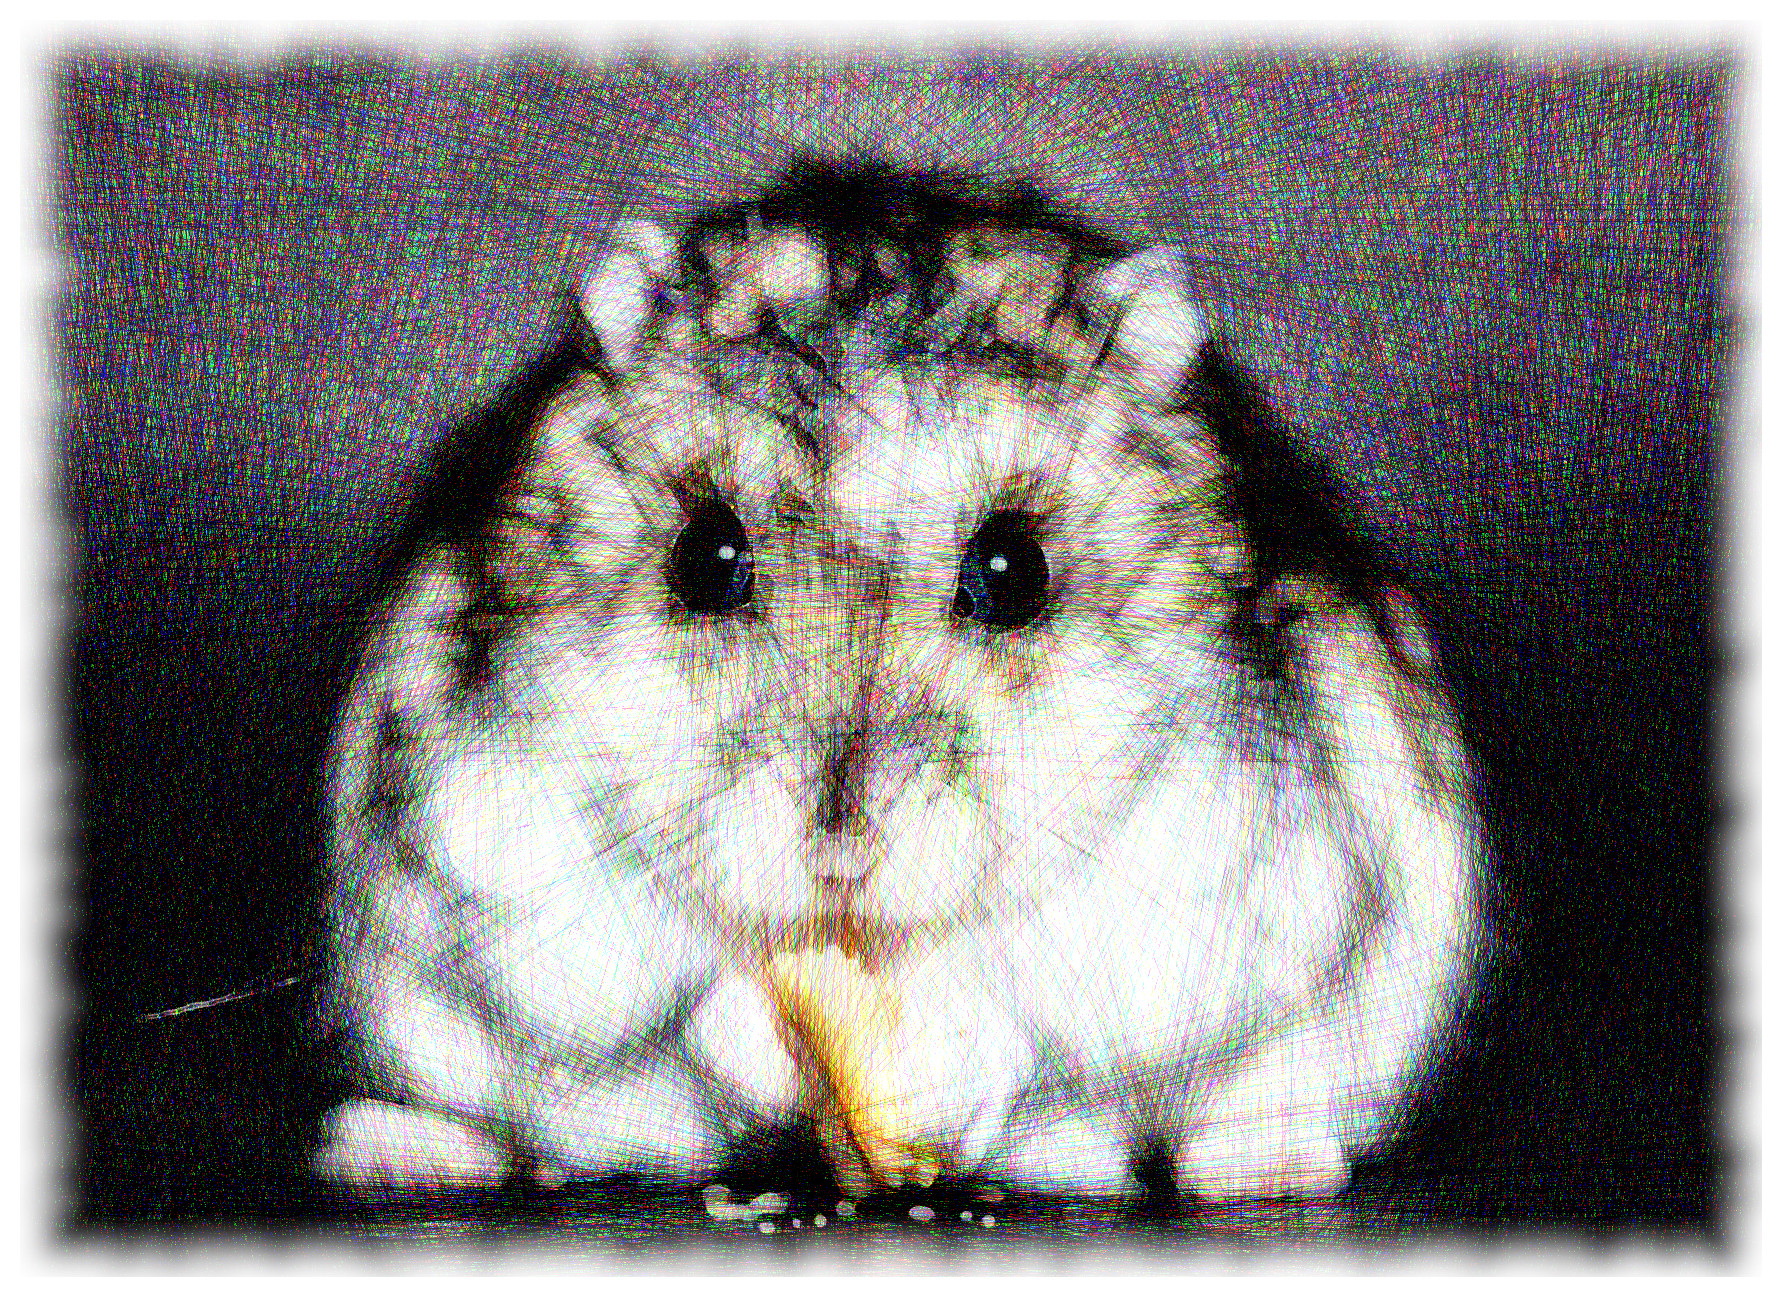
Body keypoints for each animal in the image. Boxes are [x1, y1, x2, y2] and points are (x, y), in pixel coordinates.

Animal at [312, 159, 1482, 1202]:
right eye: (703, 559)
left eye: (1014, 572)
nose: (839, 855)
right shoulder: (508, 844)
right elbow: (691, 1003)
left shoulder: (1192, 866)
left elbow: (1025, 1017)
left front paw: (936, 1061)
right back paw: (392, 1151)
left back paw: (1265, 1164)